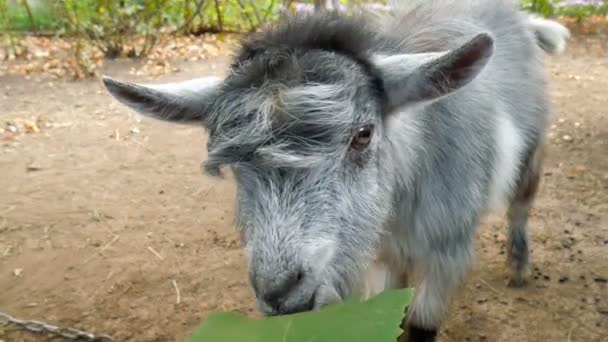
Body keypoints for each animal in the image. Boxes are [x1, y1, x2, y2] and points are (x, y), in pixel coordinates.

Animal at [101, 1, 568, 340]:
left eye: (362, 135)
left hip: (532, 152)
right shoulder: (380, 258)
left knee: (521, 204)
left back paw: (519, 266)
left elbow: (419, 326)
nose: (281, 292)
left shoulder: (448, 250)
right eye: (233, 165)